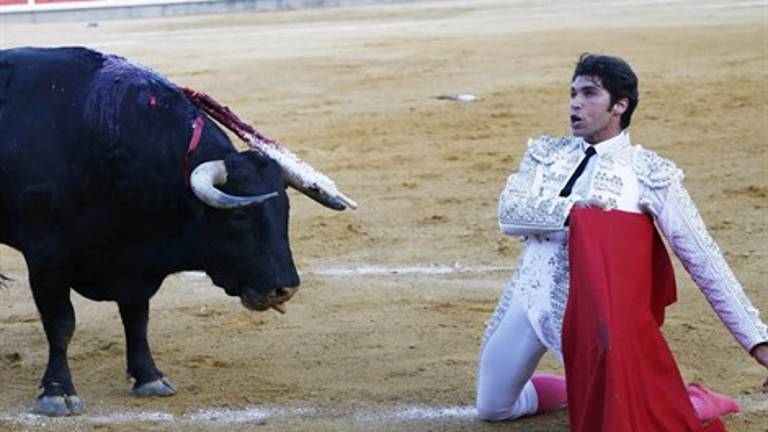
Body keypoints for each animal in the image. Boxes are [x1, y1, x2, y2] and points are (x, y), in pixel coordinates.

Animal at [0, 47, 350, 416]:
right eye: (239, 216)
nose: (285, 289)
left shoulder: (134, 265)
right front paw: (57, 392)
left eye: (285, 211)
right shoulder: (46, 258)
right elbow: (61, 324)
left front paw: (149, 378)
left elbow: (137, 318)